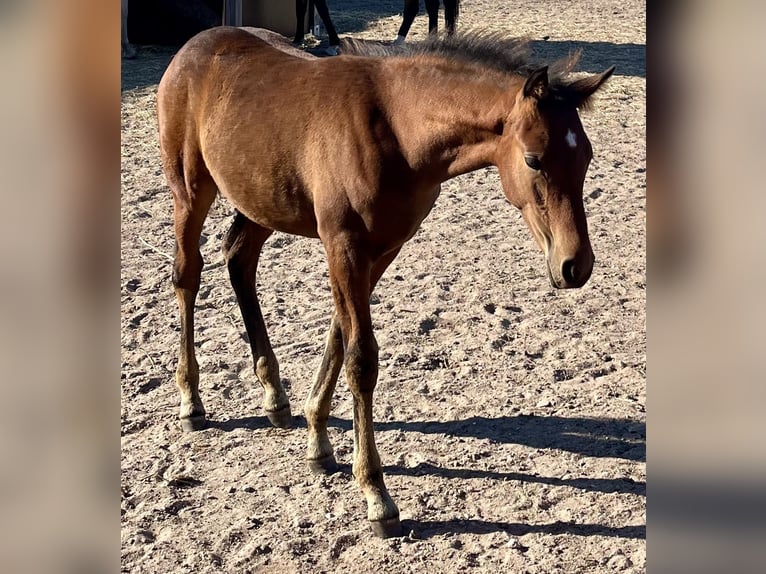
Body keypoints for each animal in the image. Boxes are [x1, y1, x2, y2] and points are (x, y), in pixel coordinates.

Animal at [159, 27, 616, 540]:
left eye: (587, 157)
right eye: (535, 160)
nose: (576, 265)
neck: (395, 126)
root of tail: (196, 44)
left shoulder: (382, 249)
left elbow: (339, 336)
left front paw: (317, 440)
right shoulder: (343, 245)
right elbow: (361, 357)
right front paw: (375, 494)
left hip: (262, 198)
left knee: (240, 260)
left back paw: (274, 396)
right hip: (190, 190)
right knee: (187, 275)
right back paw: (191, 401)